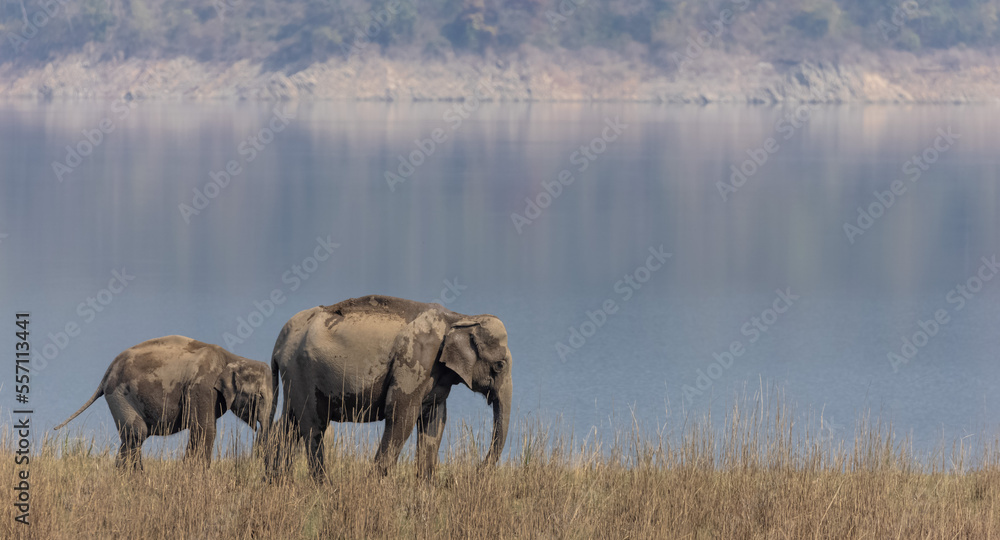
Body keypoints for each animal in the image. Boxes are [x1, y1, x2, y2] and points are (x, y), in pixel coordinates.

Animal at [54, 335, 273, 470]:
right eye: (260, 397)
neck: (232, 357)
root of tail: (107, 373)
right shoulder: (202, 387)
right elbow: (204, 429)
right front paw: (195, 474)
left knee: (133, 436)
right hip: (120, 396)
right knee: (137, 433)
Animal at [269, 295, 513, 481]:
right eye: (499, 365)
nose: (476, 471)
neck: (460, 317)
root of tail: (279, 341)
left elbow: (435, 419)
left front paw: (426, 485)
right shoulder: (415, 360)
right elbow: (401, 414)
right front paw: (374, 484)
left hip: (294, 377)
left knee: (289, 423)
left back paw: (277, 481)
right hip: (302, 370)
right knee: (314, 425)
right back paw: (323, 485)